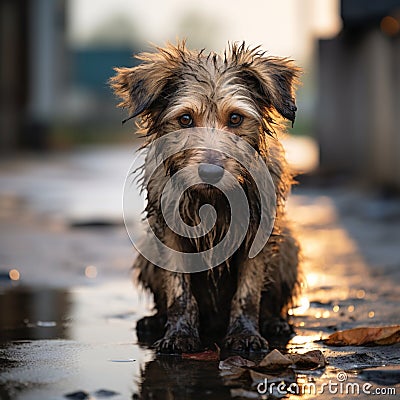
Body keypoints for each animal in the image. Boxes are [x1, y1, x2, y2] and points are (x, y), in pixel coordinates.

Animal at [109, 40, 300, 354]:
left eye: (235, 118)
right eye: (185, 119)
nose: (210, 172)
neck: (211, 200)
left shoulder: (258, 231)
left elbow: (248, 292)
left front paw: (244, 333)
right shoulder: (168, 232)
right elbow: (179, 292)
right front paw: (179, 334)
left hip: (289, 249)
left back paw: (275, 322)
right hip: (147, 250)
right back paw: (154, 320)